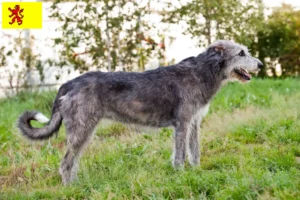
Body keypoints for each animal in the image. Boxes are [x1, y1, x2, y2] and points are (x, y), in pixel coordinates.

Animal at [18, 39, 262, 185]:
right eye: (241, 53)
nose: (260, 64)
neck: (203, 72)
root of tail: (68, 83)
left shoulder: (194, 122)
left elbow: (194, 151)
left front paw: (196, 171)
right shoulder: (182, 123)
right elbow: (180, 154)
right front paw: (180, 176)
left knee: (71, 161)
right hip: (81, 129)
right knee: (66, 162)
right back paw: (71, 188)